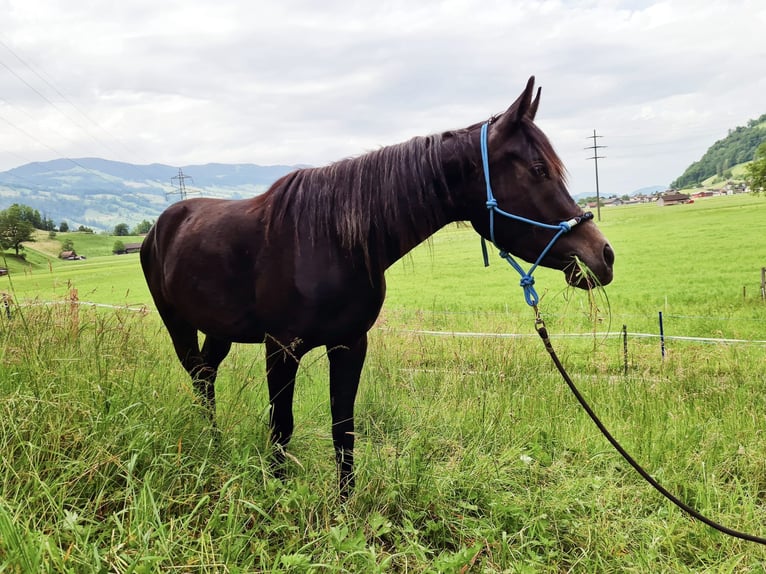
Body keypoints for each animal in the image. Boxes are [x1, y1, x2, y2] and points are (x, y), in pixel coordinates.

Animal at [140, 77, 616, 500]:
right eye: (538, 170)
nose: (603, 256)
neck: (329, 241)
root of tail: (163, 225)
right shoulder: (281, 348)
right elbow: (281, 425)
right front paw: (276, 492)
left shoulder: (350, 344)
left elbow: (343, 428)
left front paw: (345, 504)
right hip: (178, 325)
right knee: (198, 376)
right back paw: (212, 448)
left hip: (218, 330)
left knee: (207, 377)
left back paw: (216, 445)